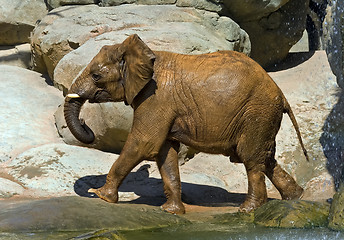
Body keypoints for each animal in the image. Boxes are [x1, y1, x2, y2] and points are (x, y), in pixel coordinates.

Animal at [64, 33, 310, 214]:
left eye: (96, 76)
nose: (87, 125)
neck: (146, 53)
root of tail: (281, 94)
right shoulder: (161, 103)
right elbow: (165, 153)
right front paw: (171, 211)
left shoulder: (156, 97)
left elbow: (143, 143)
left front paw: (100, 195)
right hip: (263, 116)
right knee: (265, 158)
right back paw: (295, 197)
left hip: (257, 112)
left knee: (251, 158)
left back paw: (248, 209)